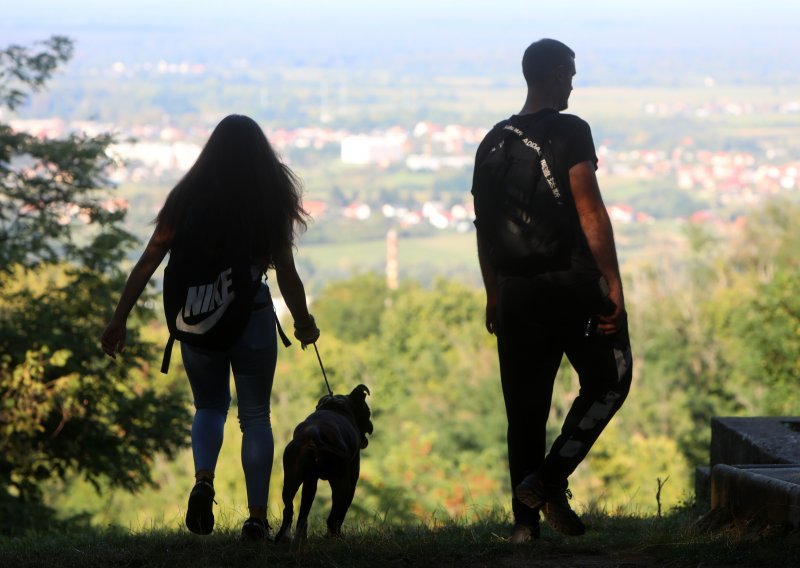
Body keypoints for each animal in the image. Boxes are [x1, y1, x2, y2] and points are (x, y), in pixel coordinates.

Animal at [276, 384, 376, 548]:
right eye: (368, 411)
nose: (371, 425)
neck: (336, 405)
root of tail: (313, 434)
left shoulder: (309, 481)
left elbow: (303, 511)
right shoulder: (352, 481)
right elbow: (341, 512)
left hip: (291, 481)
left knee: (290, 510)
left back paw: (287, 537)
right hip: (341, 483)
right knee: (334, 514)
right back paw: (334, 537)